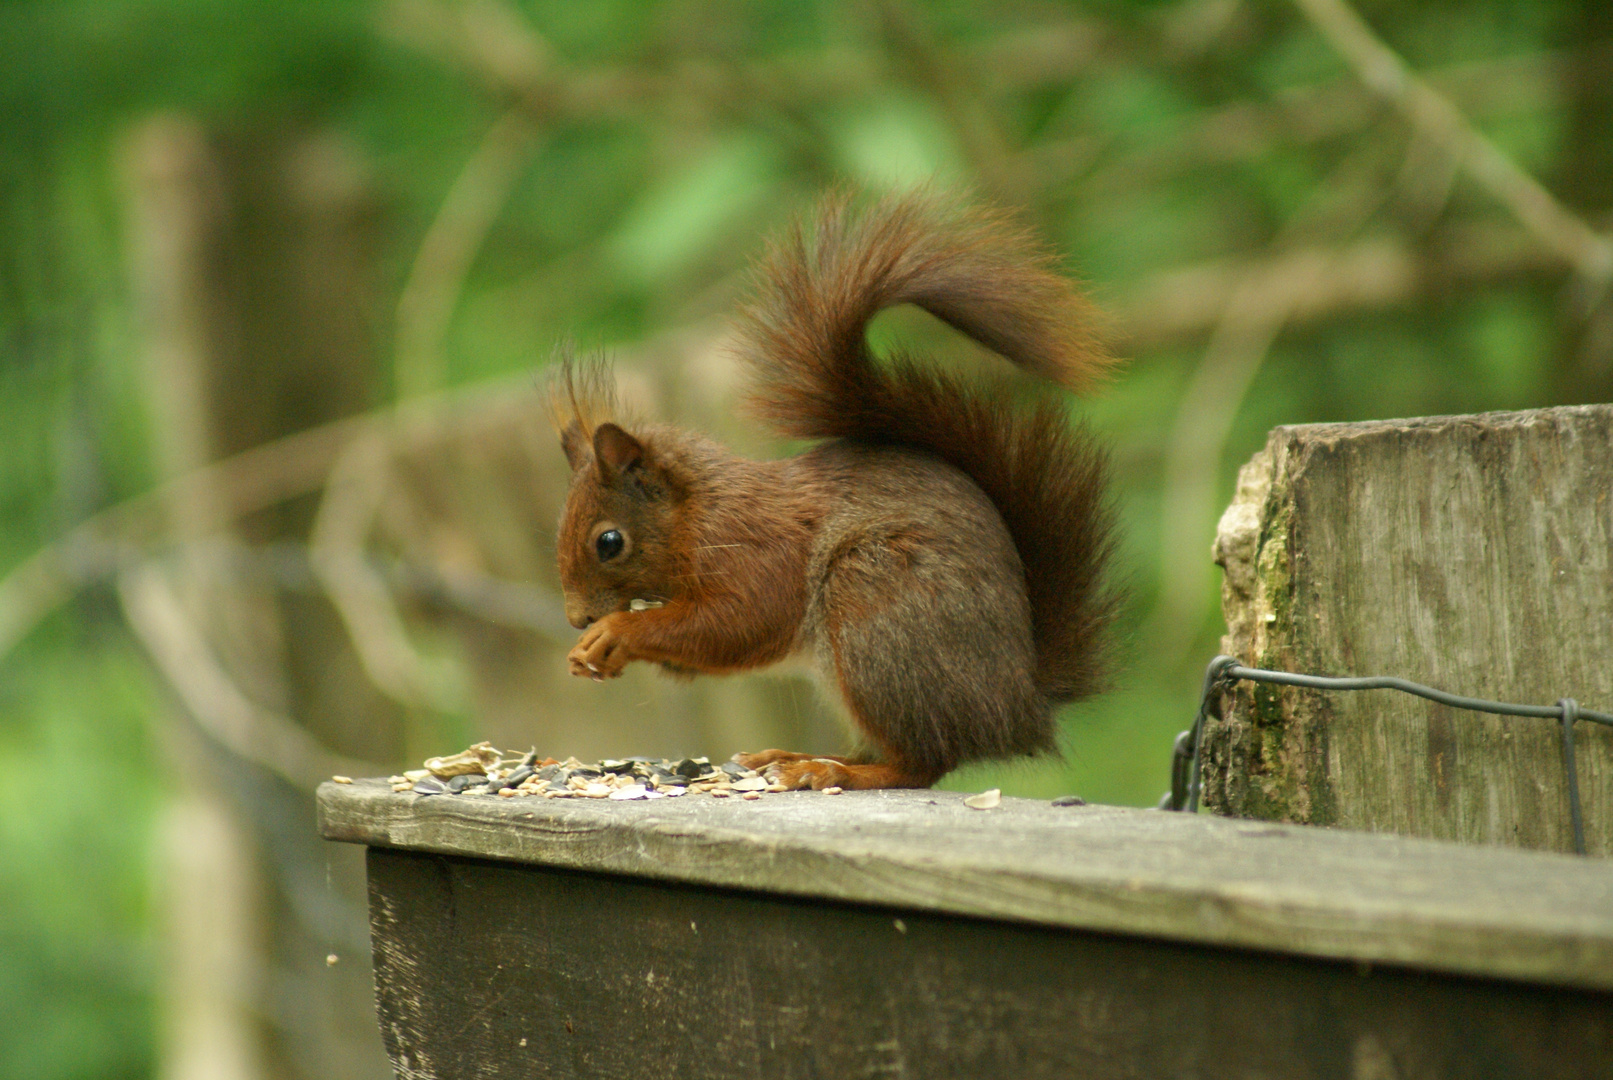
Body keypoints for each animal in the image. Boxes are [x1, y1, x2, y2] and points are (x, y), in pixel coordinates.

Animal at [548, 190, 1116, 789]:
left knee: (919, 763)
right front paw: (589, 651)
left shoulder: (758, 551)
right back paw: (793, 758)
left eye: (609, 542)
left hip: (876, 609)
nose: (577, 618)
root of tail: (1019, 704)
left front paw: (618, 631)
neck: (696, 513)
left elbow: (738, 623)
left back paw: (831, 772)